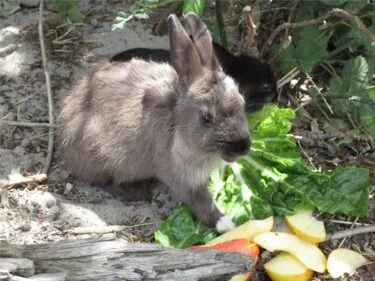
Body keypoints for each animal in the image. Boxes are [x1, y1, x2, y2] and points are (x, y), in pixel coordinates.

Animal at [57, 13, 251, 232]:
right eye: (206, 118)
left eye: (242, 102)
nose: (242, 146)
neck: (178, 123)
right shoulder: (181, 178)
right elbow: (201, 201)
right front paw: (225, 223)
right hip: (105, 160)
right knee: (107, 182)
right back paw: (137, 192)